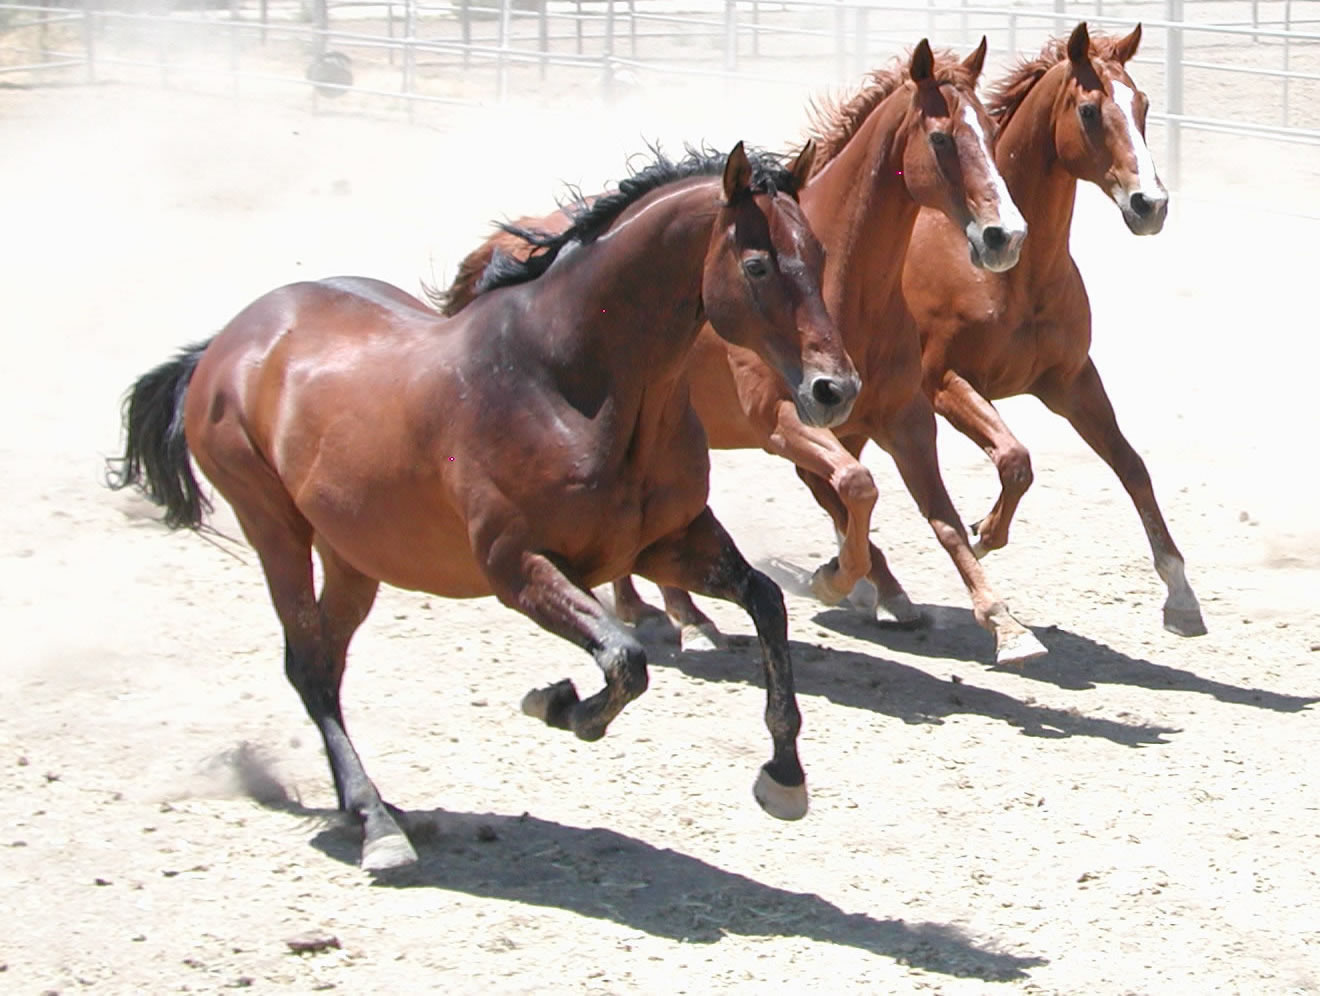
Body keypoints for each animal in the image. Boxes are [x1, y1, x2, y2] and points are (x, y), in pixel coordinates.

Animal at [108, 141, 860, 871]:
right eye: (757, 265)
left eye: (821, 255)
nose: (835, 390)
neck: (569, 383)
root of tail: (228, 341)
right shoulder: (517, 568)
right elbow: (625, 659)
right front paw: (556, 704)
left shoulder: (669, 544)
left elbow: (766, 603)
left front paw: (784, 779)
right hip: (276, 532)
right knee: (307, 667)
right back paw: (378, 824)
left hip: (354, 554)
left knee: (324, 662)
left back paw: (374, 811)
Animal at [441, 40, 1046, 666]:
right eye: (942, 138)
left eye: (991, 131)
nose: (1005, 236)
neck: (849, 293)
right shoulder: (779, 421)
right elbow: (857, 487)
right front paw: (836, 579)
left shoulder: (906, 419)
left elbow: (941, 518)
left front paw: (1002, 622)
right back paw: (665, 615)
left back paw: (674, 611)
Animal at [901, 23, 1205, 638]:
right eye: (1088, 110)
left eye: (1143, 104)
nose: (1151, 205)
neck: (1014, 272)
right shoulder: (942, 381)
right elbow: (1015, 461)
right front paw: (984, 533)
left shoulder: (1071, 381)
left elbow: (1133, 467)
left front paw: (1181, 592)